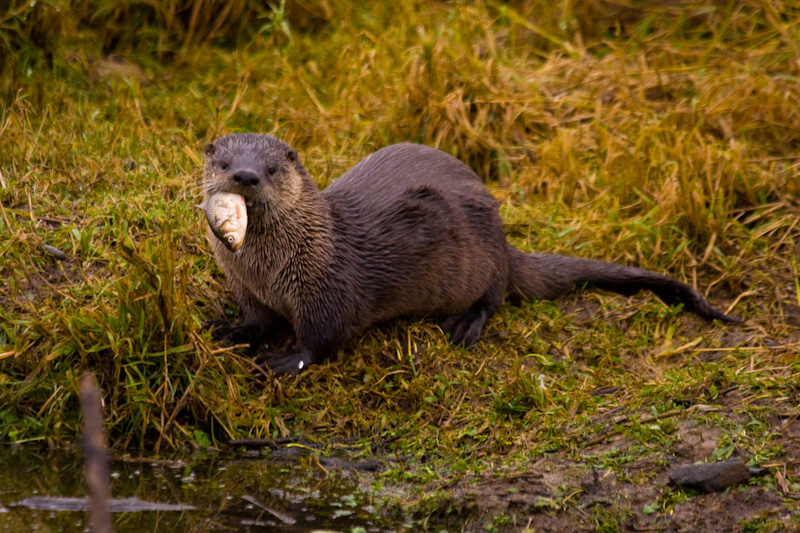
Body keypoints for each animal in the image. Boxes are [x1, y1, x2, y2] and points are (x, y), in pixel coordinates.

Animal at [203, 133, 740, 374]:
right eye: (225, 163)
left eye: (272, 169)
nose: (246, 176)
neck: (274, 269)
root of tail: (504, 240)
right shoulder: (248, 289)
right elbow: (256, 321)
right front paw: (232, 332)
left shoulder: (327, 288)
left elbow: (323, 338)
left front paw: (285, 359)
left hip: (479, 257)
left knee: (495, 296)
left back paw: (465, 324)